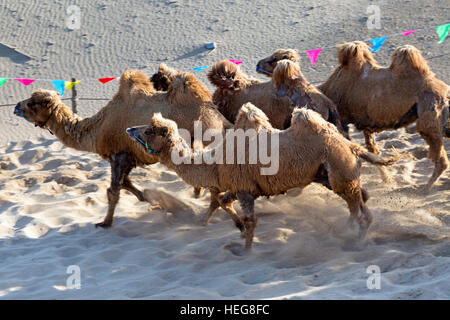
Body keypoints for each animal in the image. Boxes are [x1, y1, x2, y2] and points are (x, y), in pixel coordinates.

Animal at [14, 68, 232, 228]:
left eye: (33, 103)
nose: (16, 106)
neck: (97, 129)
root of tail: (222, 121)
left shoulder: (118, 156)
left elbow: (113, 191)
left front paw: (105, 222)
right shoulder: (128, 157)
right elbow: (128, 185)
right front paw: (152, 200)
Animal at [125, 104, 396, 249]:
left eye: (149, 131)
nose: (129, 128)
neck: (215, 162)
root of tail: (351, 146)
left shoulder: (245, 190)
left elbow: (250, 219)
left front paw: (245, 251)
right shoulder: (241, 187)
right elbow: (222, 201)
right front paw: (234, 229)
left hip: (339, 171)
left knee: (360, 212)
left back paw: (355, 241)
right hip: (331, 176)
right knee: (362, 200)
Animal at [320, 40, 450, 190]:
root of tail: (445, 90)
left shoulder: (342, 121)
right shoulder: (365, 126)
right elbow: (372, 151)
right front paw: (387, 180)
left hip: (430, 112)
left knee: (438, 154)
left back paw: (425, 188)